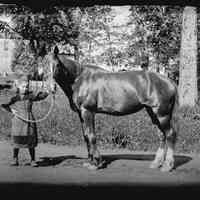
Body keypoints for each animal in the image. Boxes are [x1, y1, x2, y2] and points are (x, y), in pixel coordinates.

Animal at [45, 47, 180, 172]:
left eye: (57, 65)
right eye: (42, 64)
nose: (51, 87)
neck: (80, 79)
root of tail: (170, 82)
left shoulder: (88, 112)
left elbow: (92, 136)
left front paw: (96, 163)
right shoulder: (81, 114)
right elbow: (86, 136)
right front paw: (90, 161)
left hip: (162, 114)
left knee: (170, 134)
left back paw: (167, 165)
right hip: (152, 113)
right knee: (161, 135)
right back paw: (156, 163)